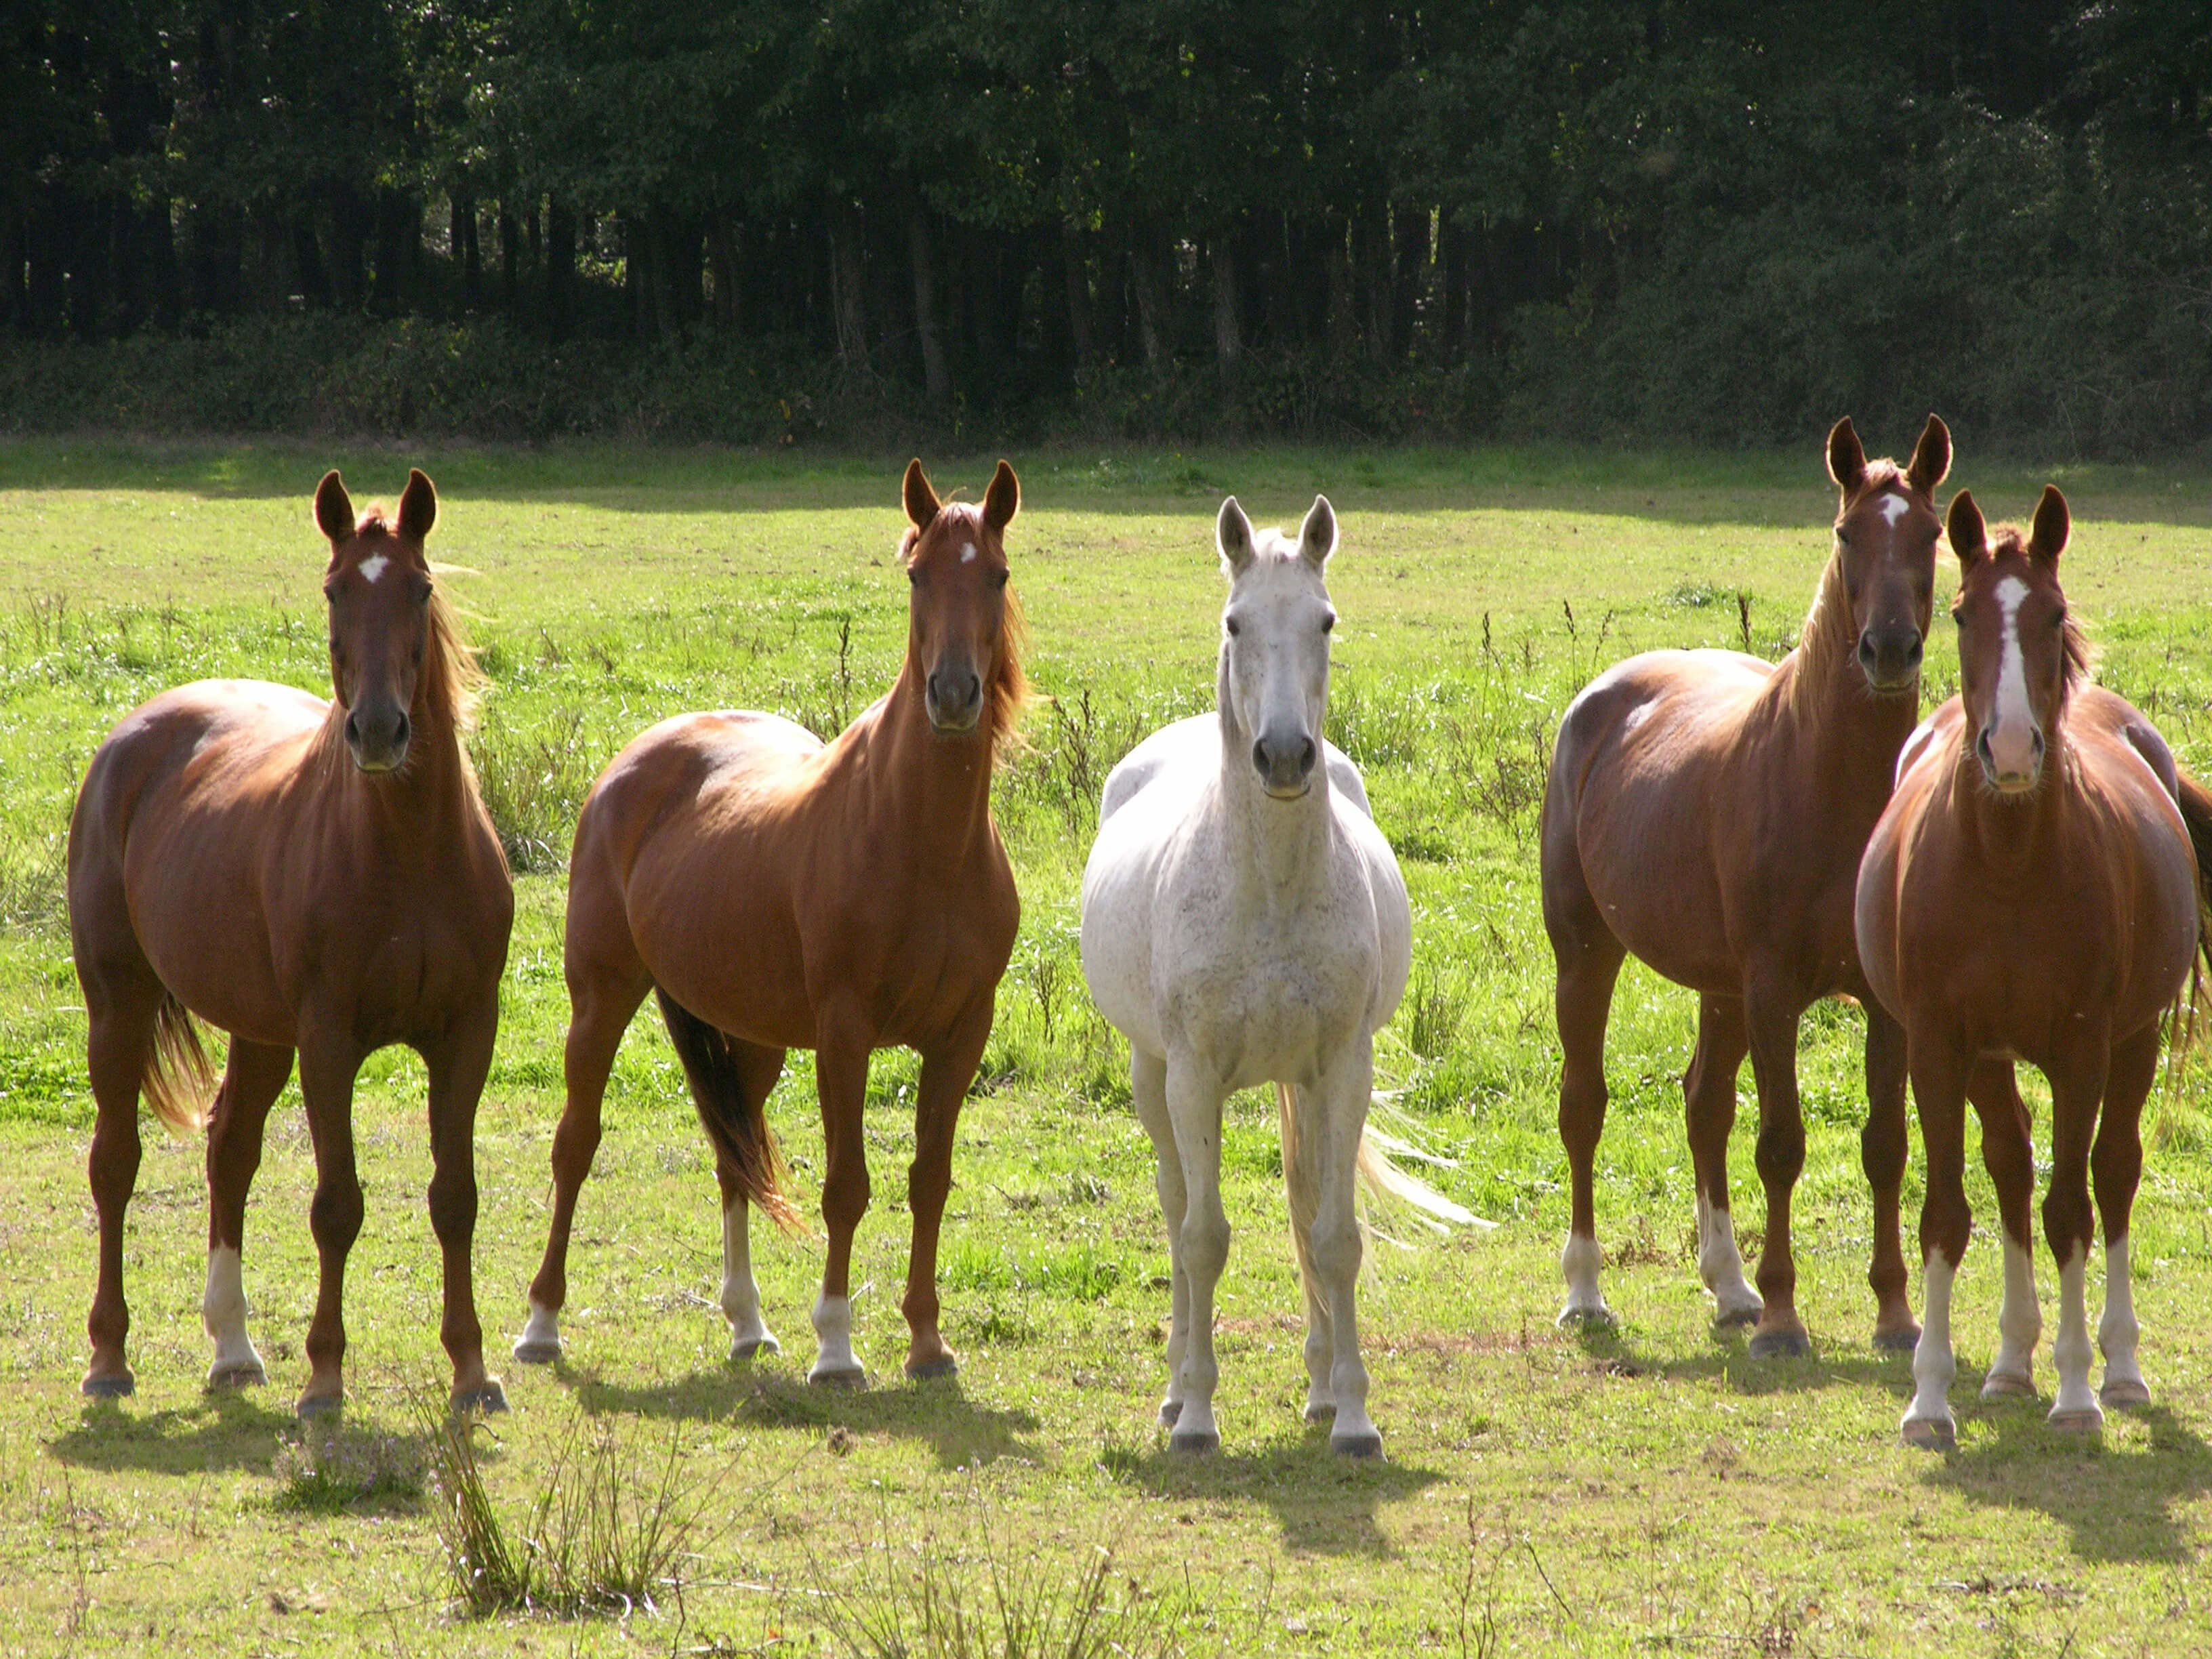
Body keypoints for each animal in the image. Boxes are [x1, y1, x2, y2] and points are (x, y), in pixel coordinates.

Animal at [67, 469, 513, 1415]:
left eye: (419, 588)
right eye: (336, 589)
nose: (378, 731)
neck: (408, 851)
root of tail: (134, 737)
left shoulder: (467, 1034)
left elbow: (455, 1197)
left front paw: (472, 1370)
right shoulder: (330, 1040)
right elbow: (336, 1205)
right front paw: (326, 1374)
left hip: (260, 1031)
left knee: (229, 1150)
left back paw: (233, 1349)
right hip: (120, 1005)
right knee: (115, 1163)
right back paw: (109, 1357)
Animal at [514, 459, 1024, 1384]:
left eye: (997, 575)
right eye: (916, 575)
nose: (954, 693)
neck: (923, 841)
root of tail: (630, 763)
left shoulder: (963, 1032)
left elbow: (929, 1178)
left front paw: (927, 1342)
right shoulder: (846, 1032)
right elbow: (847, 1186)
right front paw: (837, 1345)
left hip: (752, 1034)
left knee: (734, 1159)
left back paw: (748, 1325)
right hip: (600, 999)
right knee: (577, 1143)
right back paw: (541, 1324)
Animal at [1079, 494, 1471, 1457]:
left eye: (1324, 620)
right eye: (1236, 622)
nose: (1286, 756)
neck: (1271, 890)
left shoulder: (1343, 1068)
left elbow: (1333, 1237)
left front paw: (1355, 1414)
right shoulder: (1191, 1077)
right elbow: (1202, 1237)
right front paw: (1196, 1415)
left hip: (1305, 1082)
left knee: (1302, 1202)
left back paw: (1322, 1387)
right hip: (1151, 1075)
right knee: (1175, 1204)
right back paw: (1173, 1396)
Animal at [1540, 415, 1952, 1356]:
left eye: (1930, 533)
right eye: (1846, 533)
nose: (1887, 649)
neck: (1827, 785)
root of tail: (1599, 700)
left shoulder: (1886, 1005)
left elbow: (1884, 1145)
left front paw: (1894, 1312)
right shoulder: (1771, 991)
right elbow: (1782, 1144)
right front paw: (1786, 1317)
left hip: (1719, 988)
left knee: (1704, 1106)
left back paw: (1729, 1289)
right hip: (1588, 955)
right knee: (1584, 1105)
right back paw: (1587, 1293)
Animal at [1857, 486, 2212, 1448]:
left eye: (2052, 615)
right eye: (1960, 613)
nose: (2011, 750)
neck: (2009, 862)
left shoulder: (2084, 1048)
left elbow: (2072, 1210)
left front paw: (2078, 1390)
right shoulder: (1938, 1046)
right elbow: (1949, 1211)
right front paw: (1929, 1398)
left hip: (2132, 1042)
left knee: (2114, 1175)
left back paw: (2119, 1369)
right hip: (1987, 1059)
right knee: (2011, 1163)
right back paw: (2010, 1364)